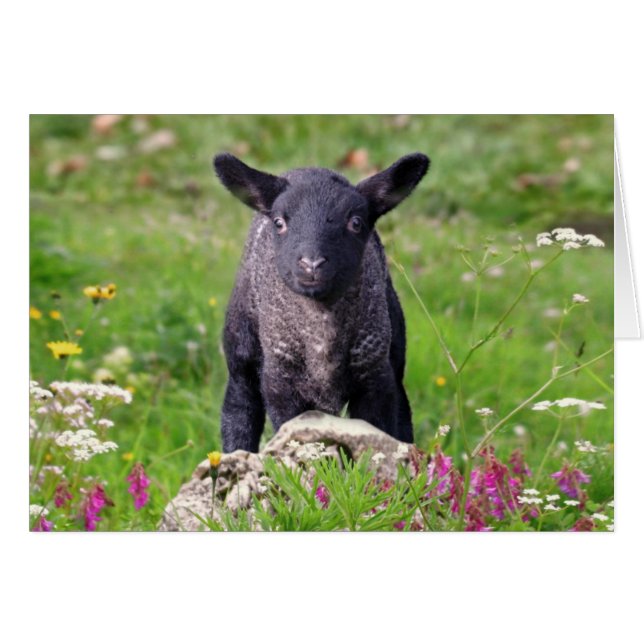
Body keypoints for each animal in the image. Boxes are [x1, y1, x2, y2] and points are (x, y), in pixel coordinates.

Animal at [213, 152, 430, 452]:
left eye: (356, 222)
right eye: (279, 223)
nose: (312, 264)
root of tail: (307, 168)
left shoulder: (375, 378)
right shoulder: (280, 385)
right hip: (241, 347)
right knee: (239, 405)